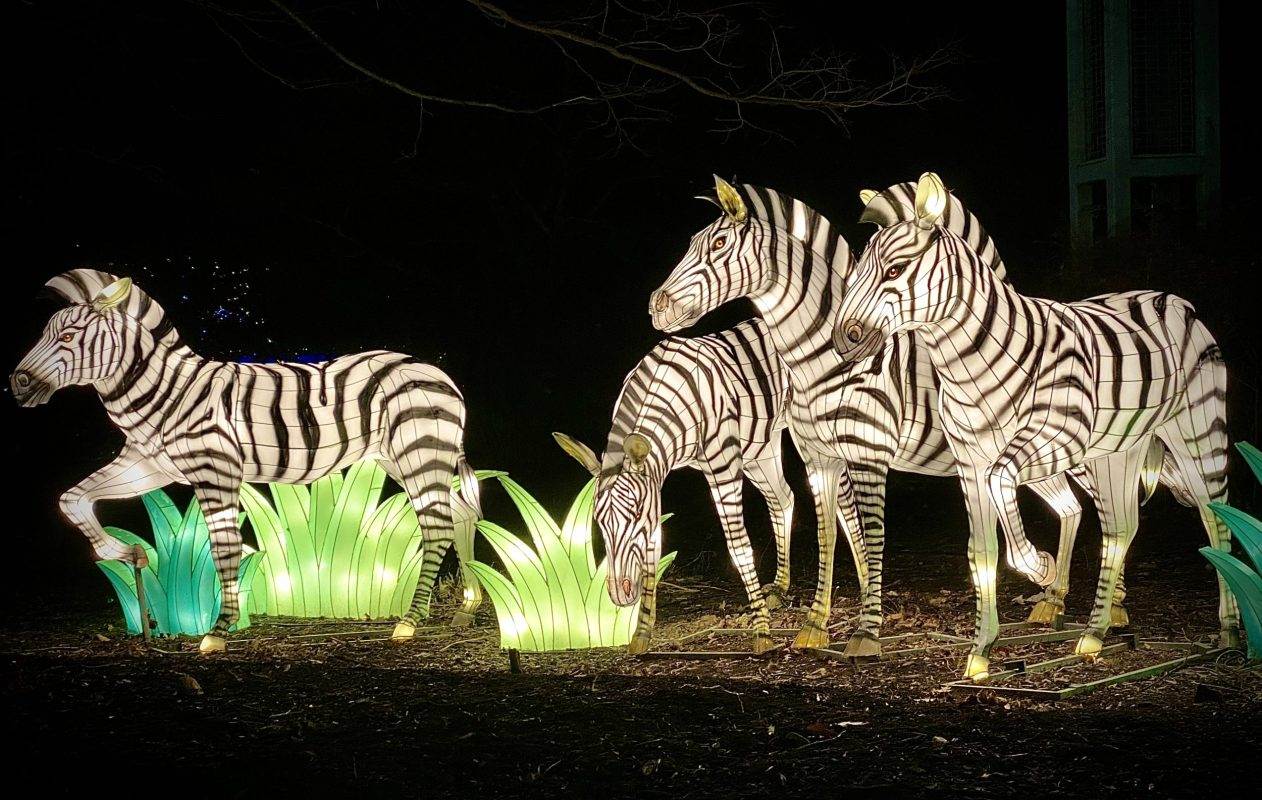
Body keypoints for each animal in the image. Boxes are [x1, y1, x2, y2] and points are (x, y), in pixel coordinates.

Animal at [11, 269, 483, 652]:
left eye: (68, 337)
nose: (18, 383)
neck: (166, 391)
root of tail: (443, 377)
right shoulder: (150, 465)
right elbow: (71, 499)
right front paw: (125, 551)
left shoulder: (215, 469)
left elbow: (225, 547)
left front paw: (220, 629)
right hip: (407, 459)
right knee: (461, 514)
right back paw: (467, 607)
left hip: (418, 452)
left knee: (437, 525)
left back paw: (411, 621)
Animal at [648, 176, 1090, 657]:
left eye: (719, 244)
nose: (656, 305)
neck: (819, 361)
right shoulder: (820, 460)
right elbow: (827, 534)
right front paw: (816, 625)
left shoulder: (868, 455)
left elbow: (873, 536)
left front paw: (867, 630)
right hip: (1036, 463)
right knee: (1071, 508)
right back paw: (1053, 600)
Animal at [834, 172, 1236, 678]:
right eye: (856, 273)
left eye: (894, 271)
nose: (843, 340)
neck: (971, 360)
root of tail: (1174, 298)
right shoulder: (970, 464)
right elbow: (980, 551)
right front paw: (981, 651)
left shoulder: (1054, 439)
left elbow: (1004, 484)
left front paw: (1039, 567)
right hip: (1120, 447)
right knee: (1121, 527)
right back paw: (1093, 633)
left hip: (1197, 432)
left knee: (1215, 513)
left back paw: (1230, 631)